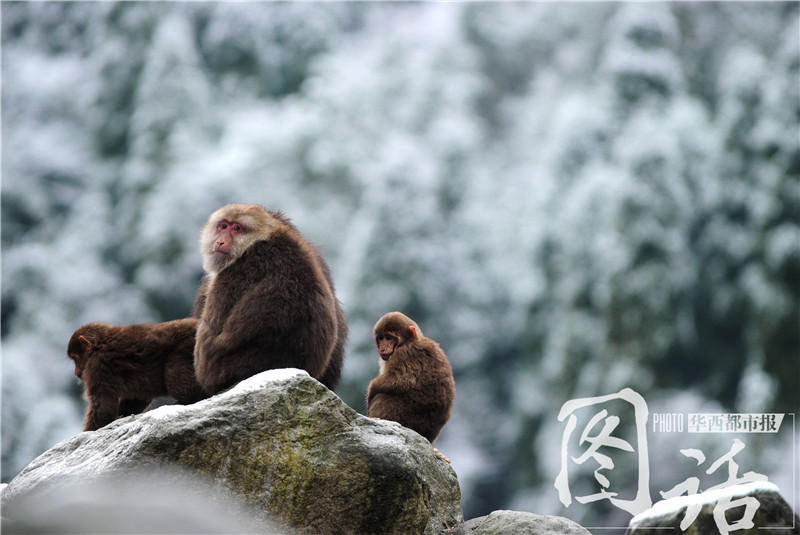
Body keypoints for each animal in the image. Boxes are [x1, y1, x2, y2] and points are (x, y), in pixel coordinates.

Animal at [67, 318, 206, 432]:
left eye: (75, 358)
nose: (76, 372)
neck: (99, 345)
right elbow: (136, 398)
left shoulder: (97, 365)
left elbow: (103, 403)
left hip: (186, 348)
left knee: (176, 376)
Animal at [366, 310, 454, 444]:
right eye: (381, 338)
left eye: (389, 338)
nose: (383, 348)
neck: (411, 341)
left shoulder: (404, 353)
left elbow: (398, 381)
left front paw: (371, 390)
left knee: (381, 396)